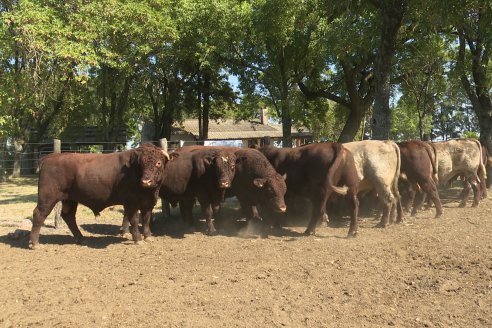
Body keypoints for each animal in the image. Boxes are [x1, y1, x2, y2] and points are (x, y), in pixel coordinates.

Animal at [30, 144, 170, 249]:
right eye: (141, 164)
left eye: (158, 163)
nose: (146, 181)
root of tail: (49, 158)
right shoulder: (131, 203)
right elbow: (134, 220)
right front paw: (138, 239)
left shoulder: (148, 203)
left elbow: (146, 219)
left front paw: (148, 237)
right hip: (48, 198)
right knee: (39, 214)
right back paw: (35, 244)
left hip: (70, 199)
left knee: (68, 216)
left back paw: (81, 239)